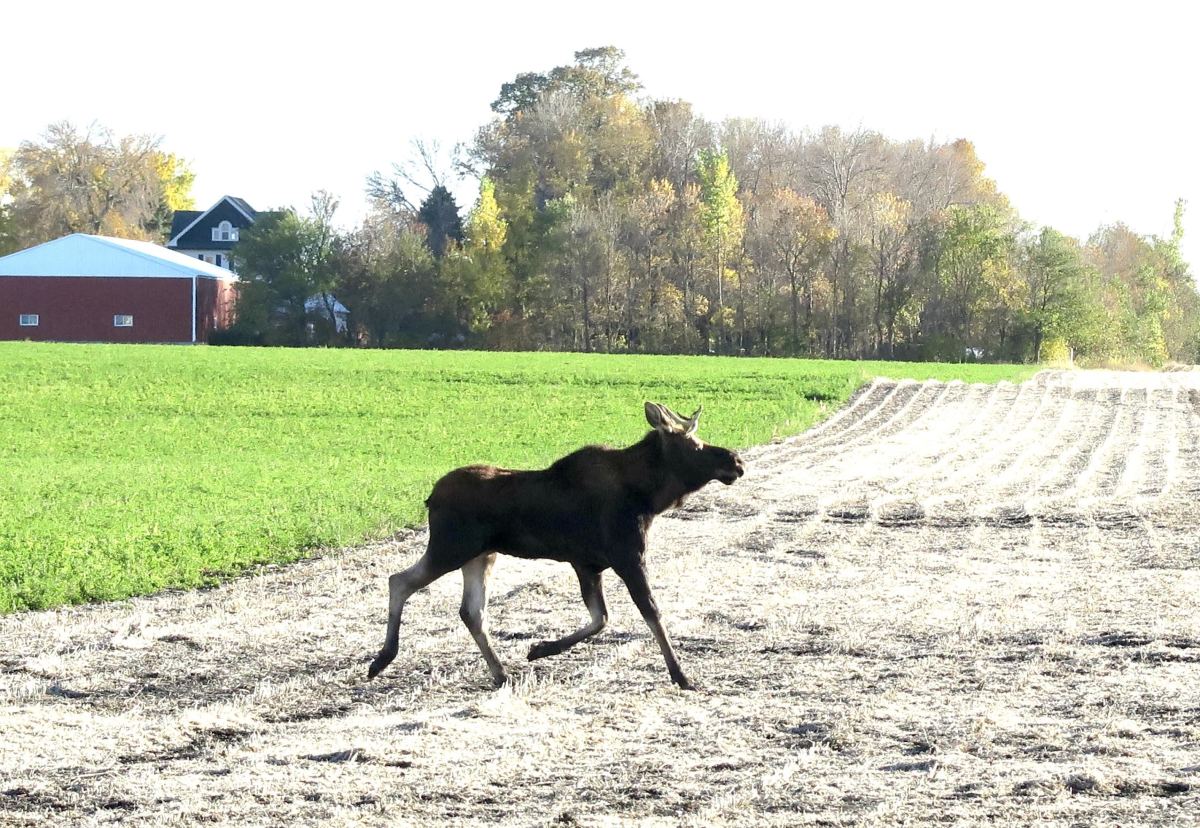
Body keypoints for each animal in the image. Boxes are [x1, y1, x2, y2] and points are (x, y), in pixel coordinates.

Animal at [367, 402, 746, 690]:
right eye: (695, 444)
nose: (736, 461)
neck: (649, 497)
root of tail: (430, 498)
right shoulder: (626, 557)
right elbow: (648, 612)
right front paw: (681, 675)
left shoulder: (588, 564)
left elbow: (600, 618)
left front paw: (539, 650)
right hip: (451, 548)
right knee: (399, 581)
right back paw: (381, 660)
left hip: (481, 555)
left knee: (470, 611)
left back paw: (501, 673)